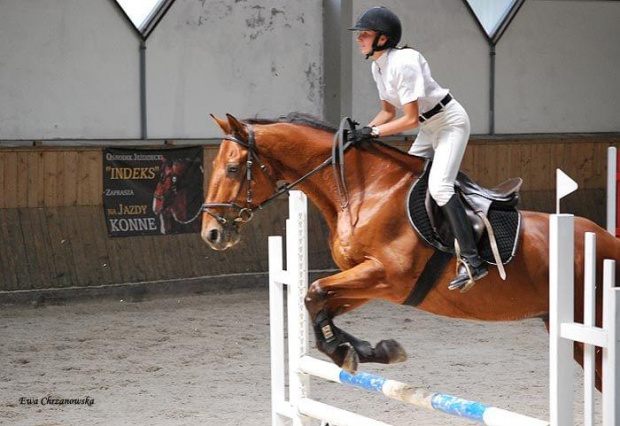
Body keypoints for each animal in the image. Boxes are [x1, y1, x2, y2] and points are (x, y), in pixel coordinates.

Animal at [201, 112, 616, 390]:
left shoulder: (386, 276)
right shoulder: (367, 281)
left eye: (234, 169)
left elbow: (314, 293)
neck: (365, 190)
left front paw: (354, 350)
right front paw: (364, 350)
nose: (211, 233)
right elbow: (317, 304)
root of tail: (609, 240)